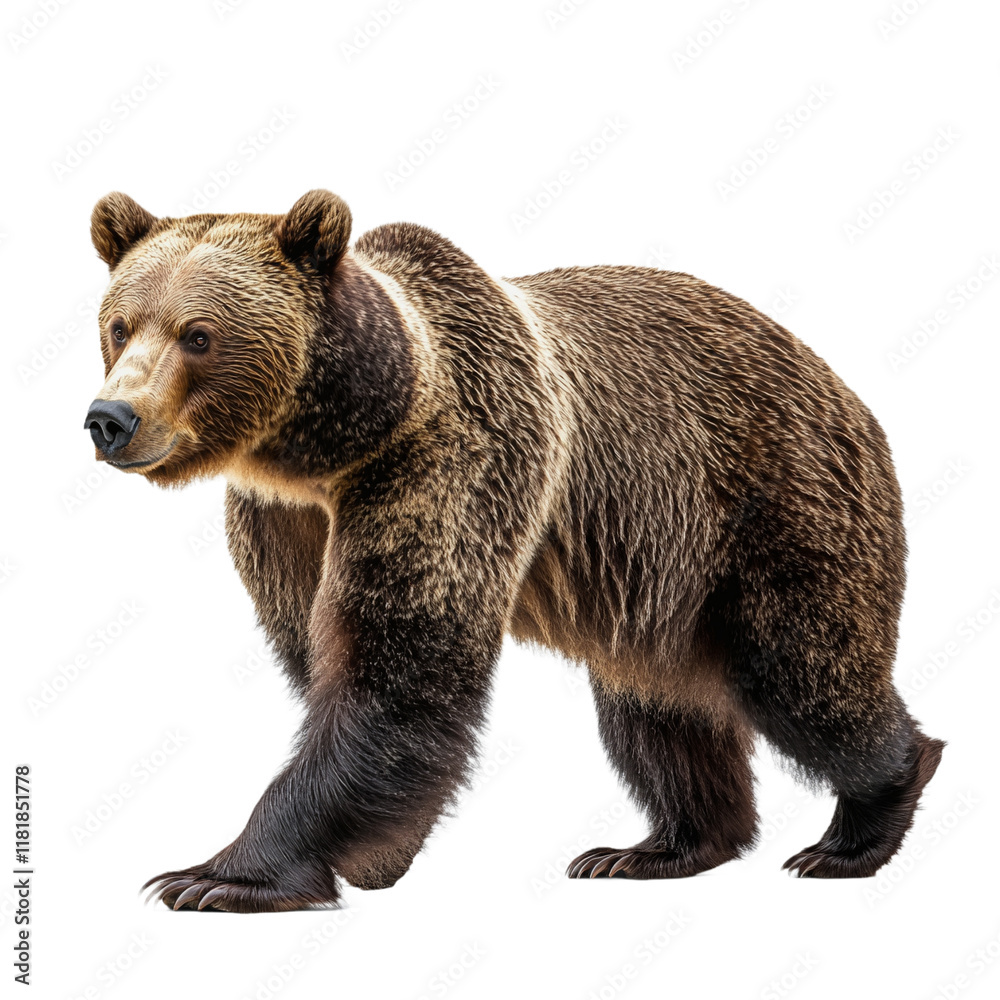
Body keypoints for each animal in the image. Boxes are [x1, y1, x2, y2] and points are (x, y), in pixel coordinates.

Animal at [84, 189, 944, 912]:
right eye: (121, 325)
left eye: (199, 334)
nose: (111, 418)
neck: (331, 445)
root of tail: (844, 390)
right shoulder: (283, 521)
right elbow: (323, 654)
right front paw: (374, 857)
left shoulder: (456, 457)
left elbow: (398, 668)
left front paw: (217, 876)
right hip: (660, 576)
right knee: (657, 706)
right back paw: (655, 848)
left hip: (776, 506)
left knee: (801, 670)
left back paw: (862, 823)